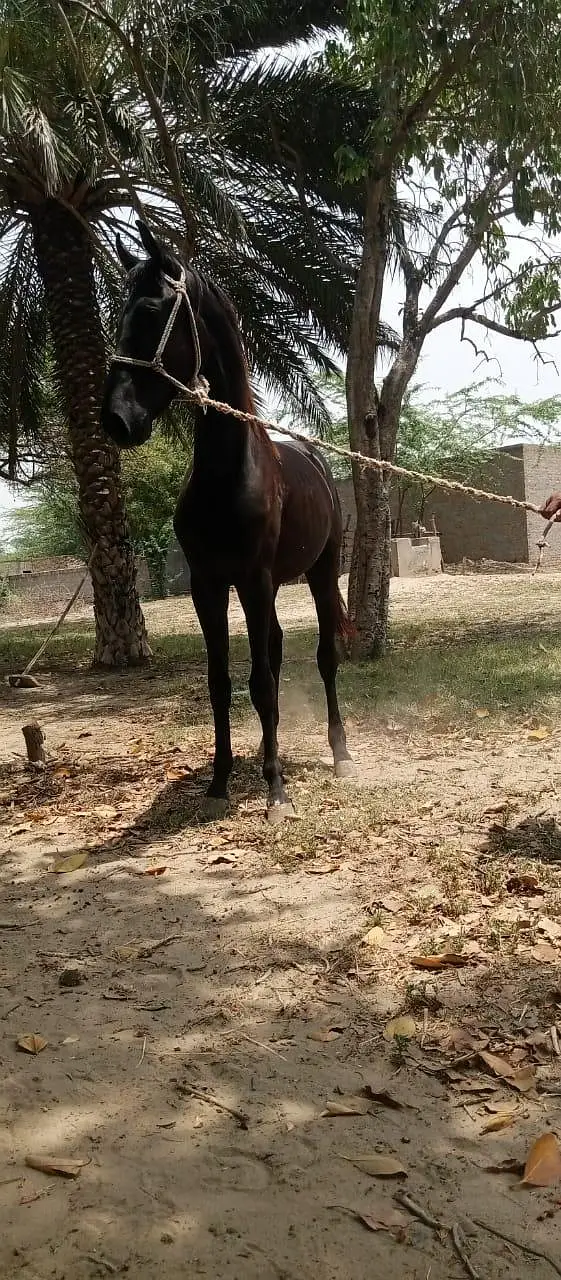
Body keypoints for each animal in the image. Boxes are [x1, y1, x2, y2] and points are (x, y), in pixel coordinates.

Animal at [100, 220, 354, 820]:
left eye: (152, 313)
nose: (117, 420)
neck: (229, 473)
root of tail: (316, 459)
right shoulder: (209, 584)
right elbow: (221, 682)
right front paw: (220, 782)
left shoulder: (255, 580)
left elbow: (260, 683)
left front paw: (275, 792)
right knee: (278, 655)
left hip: (319, 574)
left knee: (324, 659)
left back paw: (339, 754)